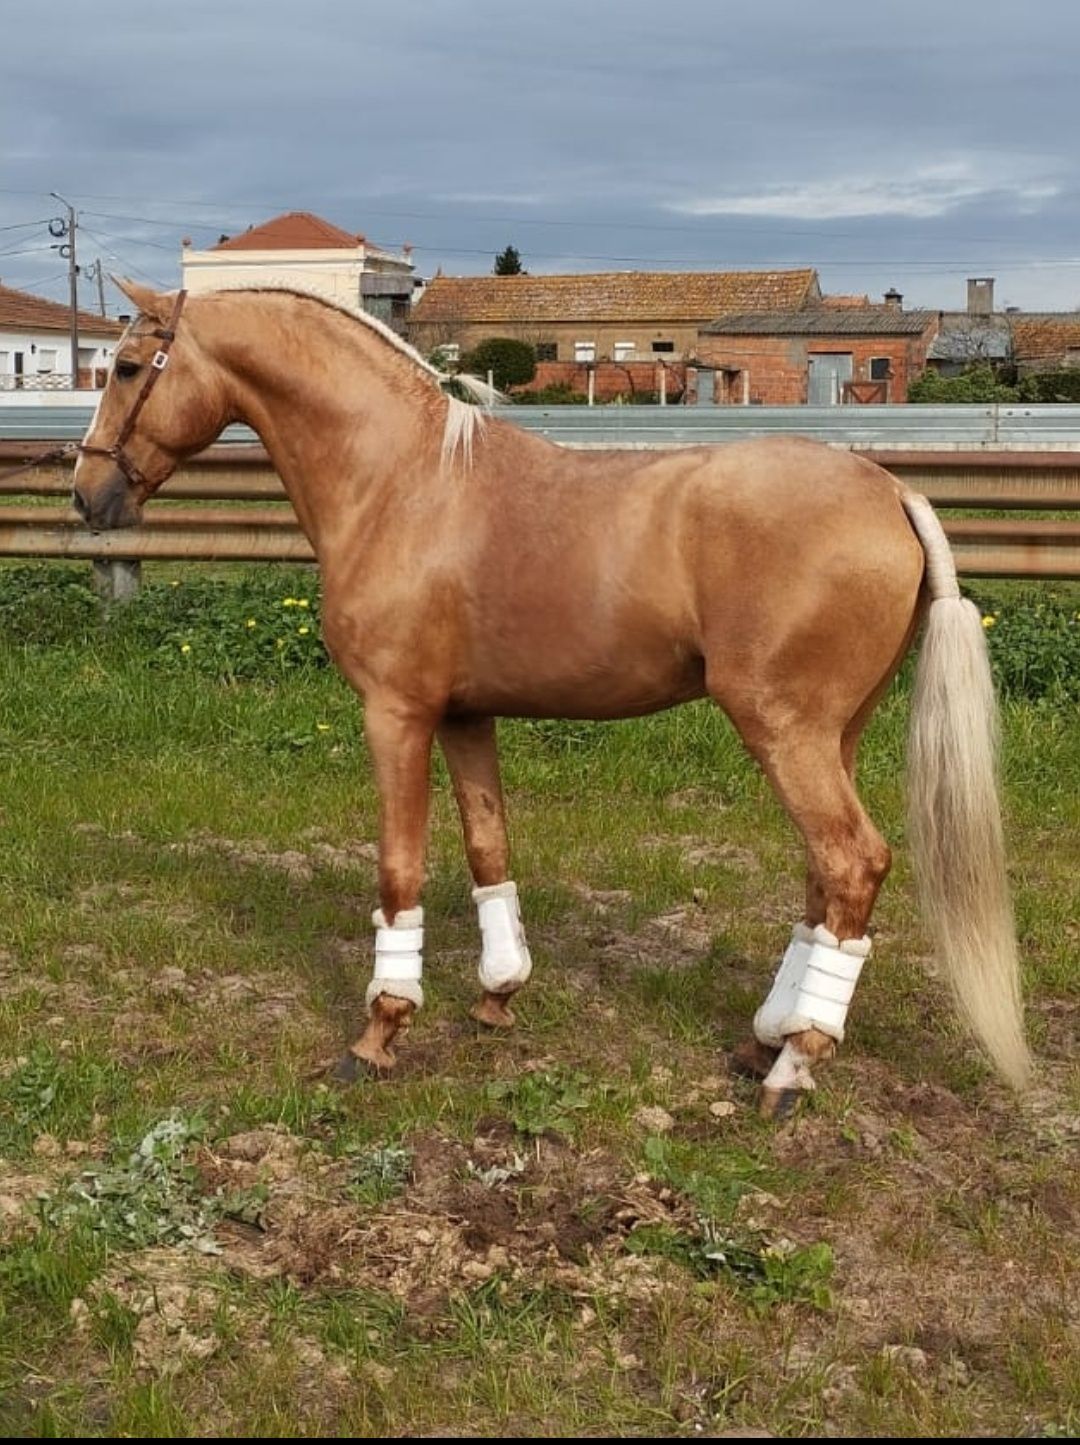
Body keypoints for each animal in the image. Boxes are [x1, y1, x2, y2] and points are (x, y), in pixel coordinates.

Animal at [71, 284, 1035, 1115]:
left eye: (127, 367)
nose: (85, 495)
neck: (402, 483)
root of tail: (895, 491)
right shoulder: (464, 715)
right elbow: (487, 848)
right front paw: (498, 994)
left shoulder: (396, 713)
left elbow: (398, 869)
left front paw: (380, 1030)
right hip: (833, 735)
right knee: (823, 874)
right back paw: (766, 1037)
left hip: (785, 731)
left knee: (852, 862)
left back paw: (794, 1065)